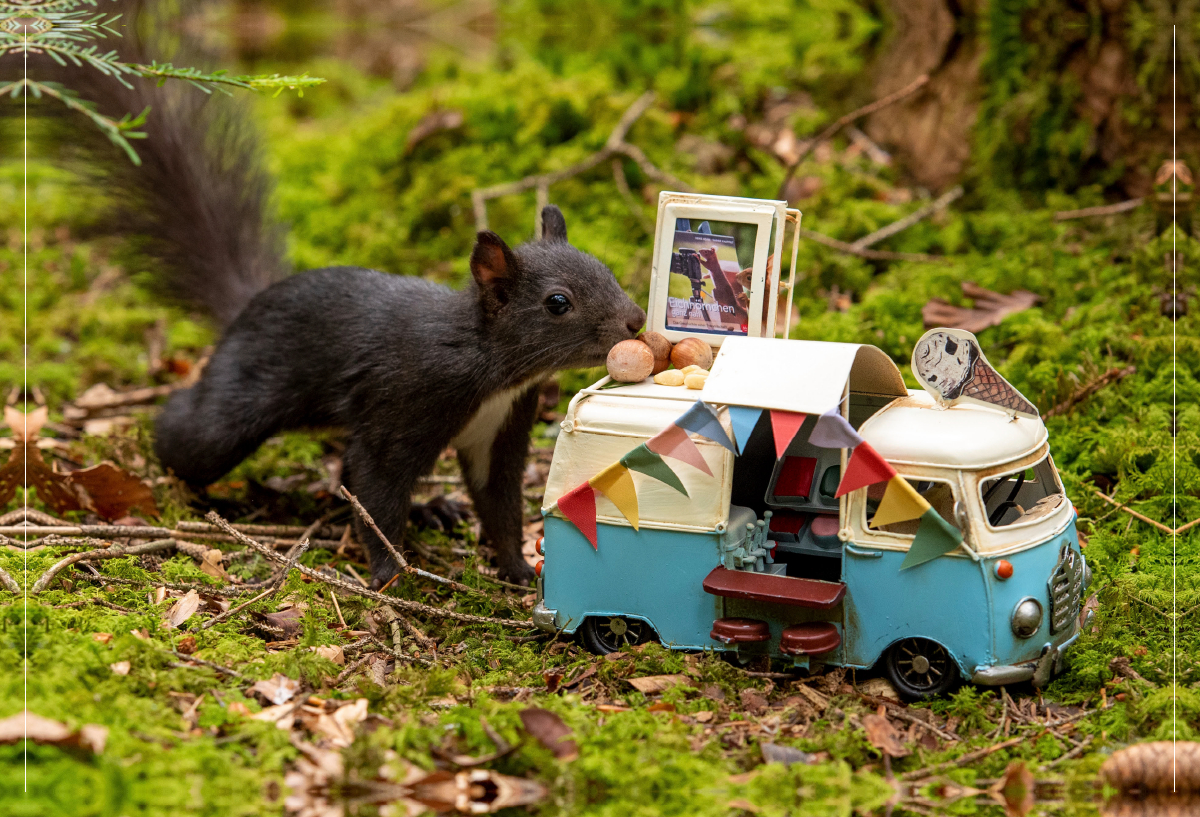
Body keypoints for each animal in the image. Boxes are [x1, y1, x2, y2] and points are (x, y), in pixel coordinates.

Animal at [44, 19, 648, 583]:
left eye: (606, 269)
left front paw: (519, 570)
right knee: (192, 432)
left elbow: (497, 503)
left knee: (341, 476)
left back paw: (432, 509)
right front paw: (389, 576)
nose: (636, 320)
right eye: (557, 302)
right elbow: (377, 487)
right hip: (235, 407)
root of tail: (249, 304)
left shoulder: (499, 429)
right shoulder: (404, 400)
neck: (488, 364)